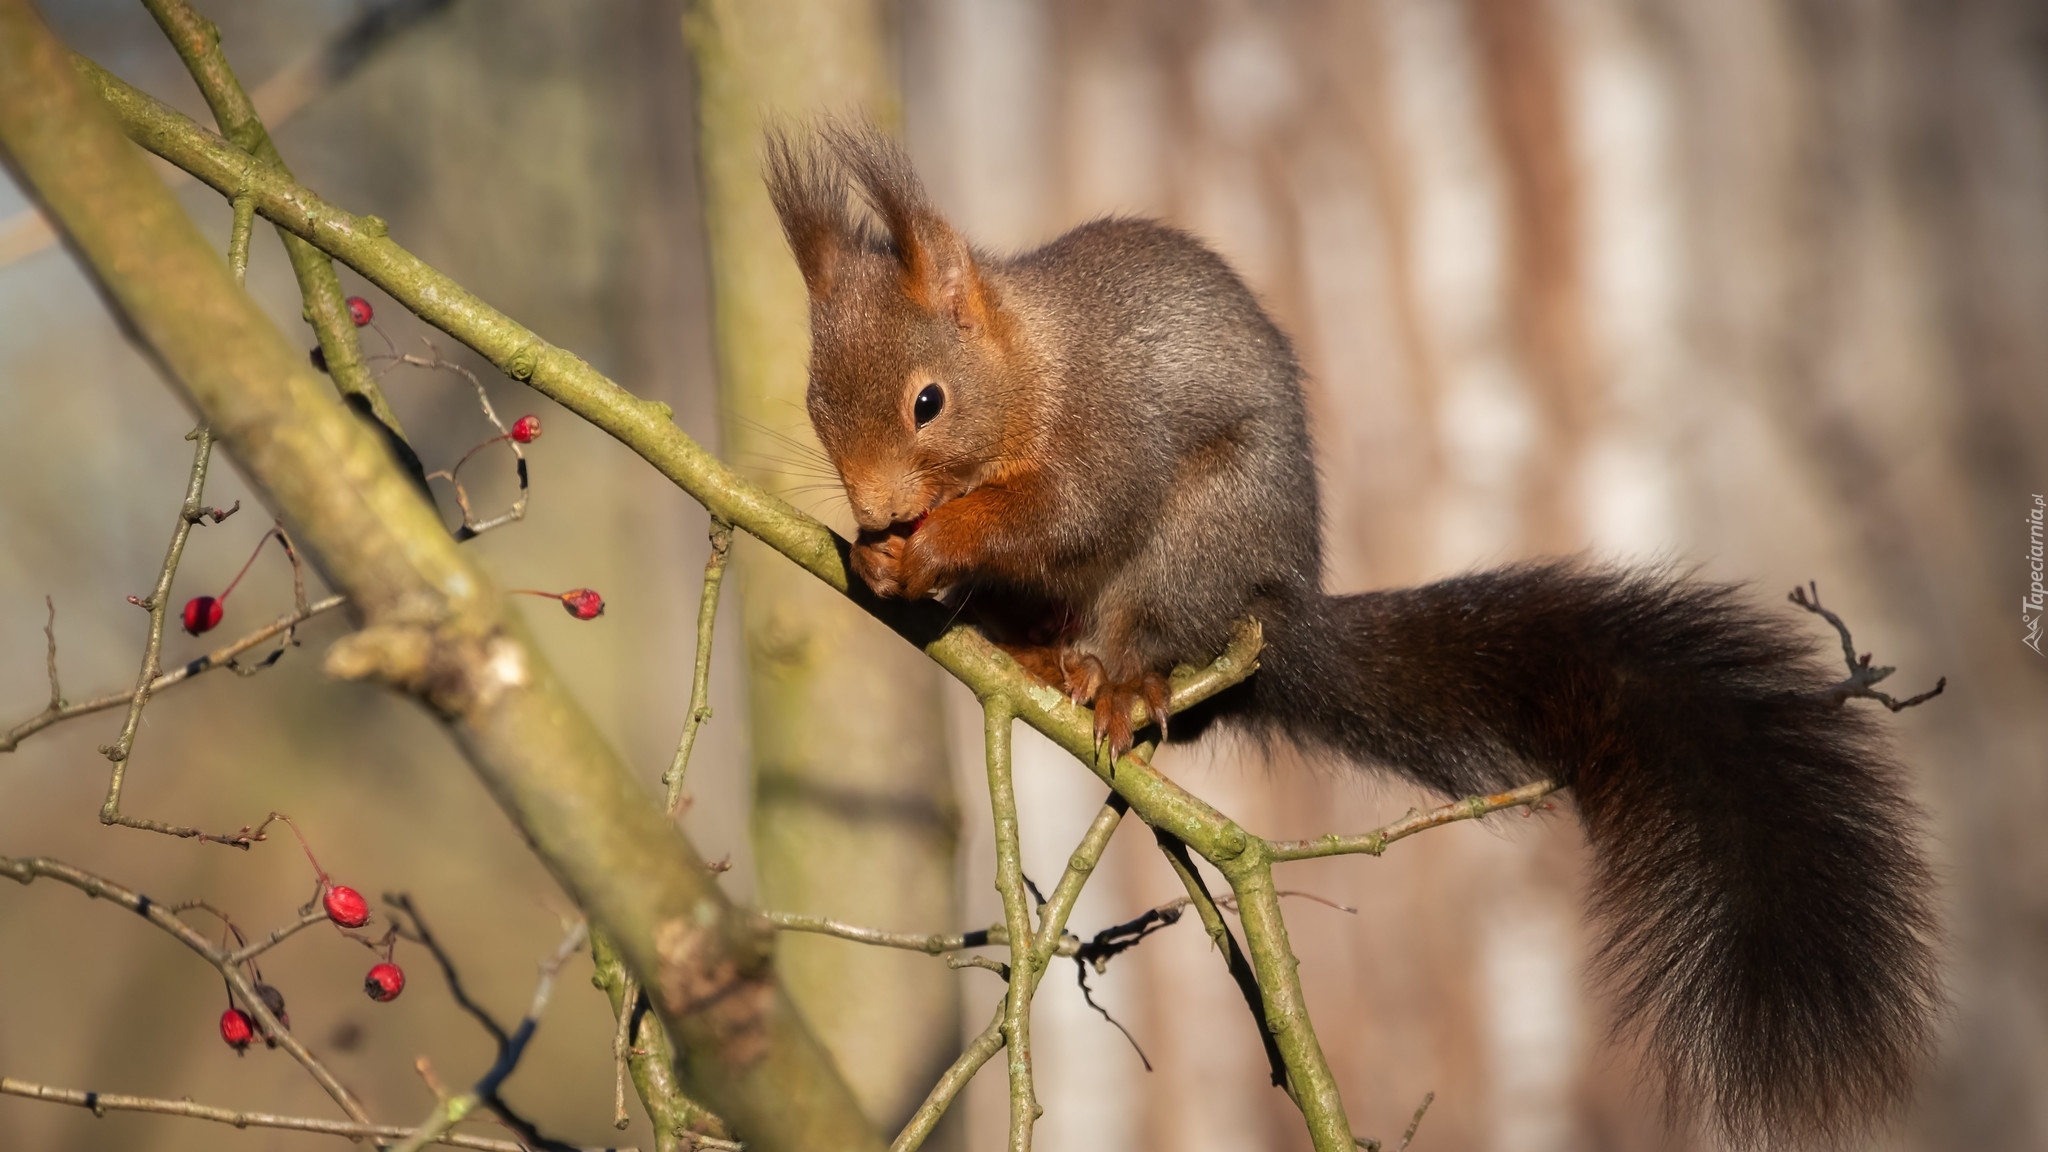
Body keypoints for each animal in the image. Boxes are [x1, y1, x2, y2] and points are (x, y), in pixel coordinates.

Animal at [765, 120, 1933, 1139]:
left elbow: (1059, 515)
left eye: (927, 401)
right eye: (814, 403)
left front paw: (929, 545)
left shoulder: (1104, 437)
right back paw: (1031, 655)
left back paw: (1122, 682)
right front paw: (879, 559)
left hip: (1199, 551)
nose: (877, 510)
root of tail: (1280, 616)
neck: (1033, 367)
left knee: (1154, 638)